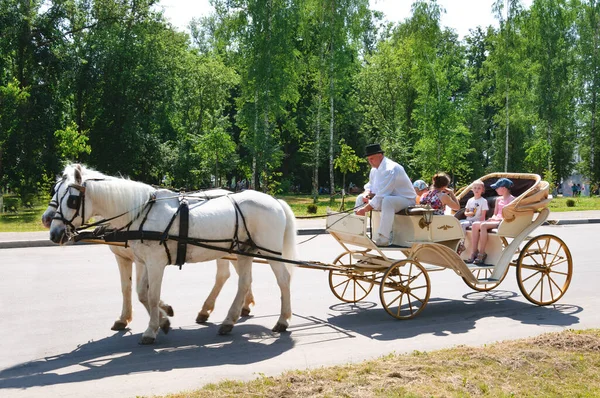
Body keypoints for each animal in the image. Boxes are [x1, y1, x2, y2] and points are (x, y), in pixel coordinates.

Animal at [49, 163, 298, 344]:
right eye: (54, 194)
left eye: (72, 200)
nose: (54, 232)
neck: (141, 212)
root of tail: (275, 201)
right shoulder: (142, 261)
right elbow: (139, 292)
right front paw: (164, 318)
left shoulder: (155, 263)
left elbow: (150, 295)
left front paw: (152, 330)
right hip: (242, 251)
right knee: (243, 281)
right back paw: (228, 320)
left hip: (269, 251)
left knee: (283, 279)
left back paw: (283, 320)